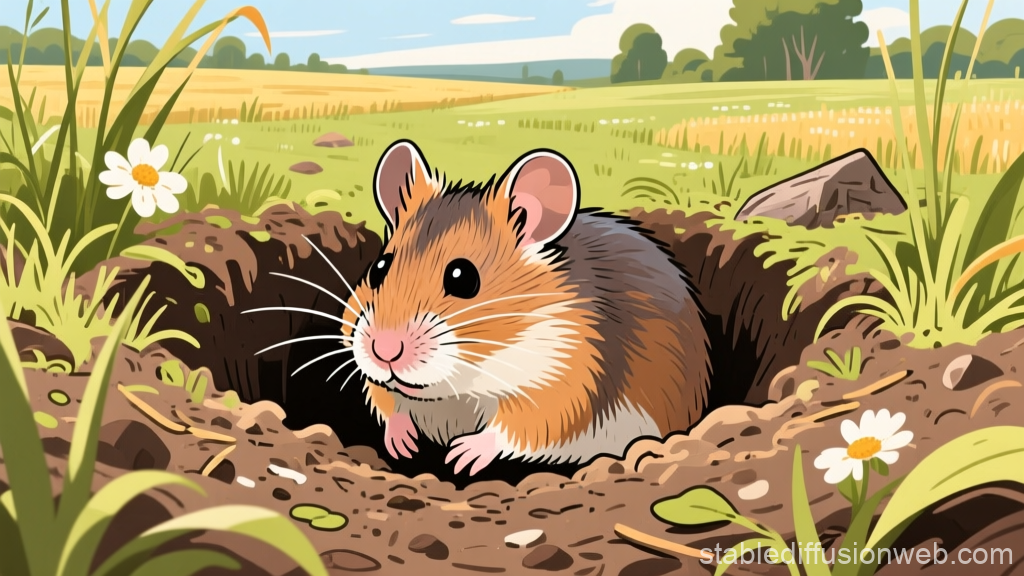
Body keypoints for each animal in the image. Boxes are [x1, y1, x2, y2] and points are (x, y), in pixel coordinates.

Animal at [340, 139, 711, 476]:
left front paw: (461, 455)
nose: (384, 350)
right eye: (379, 268)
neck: (465, 386)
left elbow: (517, 427)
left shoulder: (565, 382)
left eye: (463, 278)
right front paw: (402, 445)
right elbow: (388, 402)